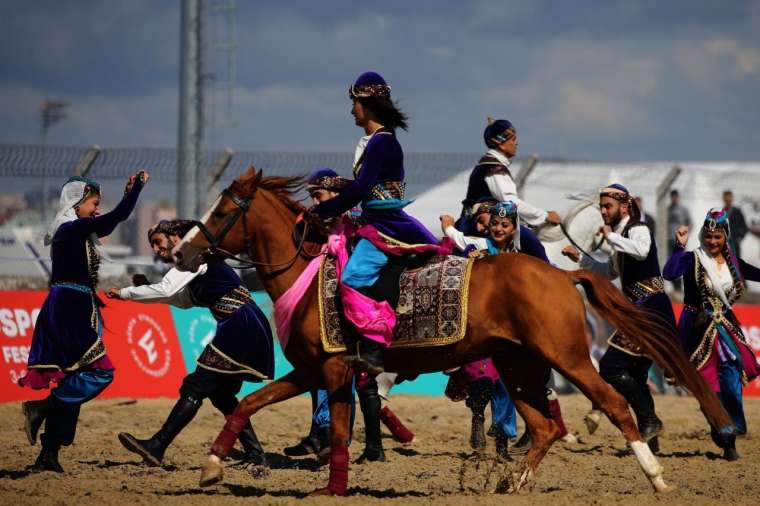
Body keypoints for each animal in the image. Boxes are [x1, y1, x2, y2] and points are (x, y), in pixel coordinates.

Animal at [172, 168, 732, 496]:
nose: (180, 251)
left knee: (613, 404)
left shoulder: (330, 371)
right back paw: (512, 482)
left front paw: (333, 488)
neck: (309, 275)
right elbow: (248, 403)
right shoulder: (312, 371)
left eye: (224, 209)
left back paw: (655, 477)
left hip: (566, 358)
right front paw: (211, 466)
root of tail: (560, 273)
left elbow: (338, 431)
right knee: (544, 426)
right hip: (516, 364)